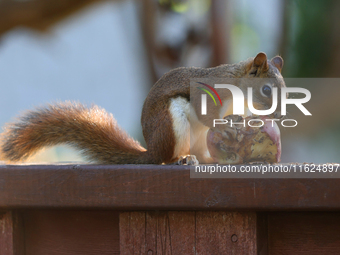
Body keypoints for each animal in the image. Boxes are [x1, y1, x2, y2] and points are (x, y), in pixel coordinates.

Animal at [0, 52, 284, 164]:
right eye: (266, 90)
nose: (279, 115)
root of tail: (152, 149)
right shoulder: (209, 93)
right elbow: (208, 115)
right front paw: (228, 124)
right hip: (171, 125)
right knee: (167, 158)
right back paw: (181, 159)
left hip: (196, 140)